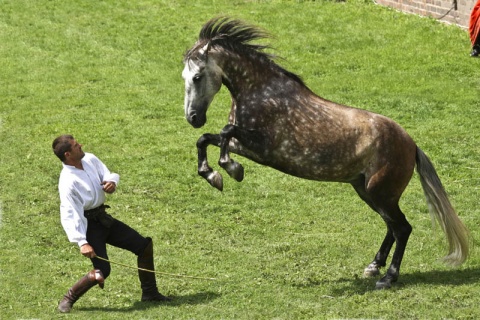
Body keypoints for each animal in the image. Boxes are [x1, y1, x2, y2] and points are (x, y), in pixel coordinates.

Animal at [181, 16, 468, 288]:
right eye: (184, 78)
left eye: (197, 77)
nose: (193, 118)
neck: (261, 92)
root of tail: (412, 145)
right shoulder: (247, 147)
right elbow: (206, 139)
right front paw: (214, 175)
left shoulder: (264, 146)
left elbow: (226, 131)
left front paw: (231, 169)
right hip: (368, 191)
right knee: (392, 226)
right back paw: (373, 266)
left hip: (380, 192)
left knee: (403, 228)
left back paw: (388, 277)